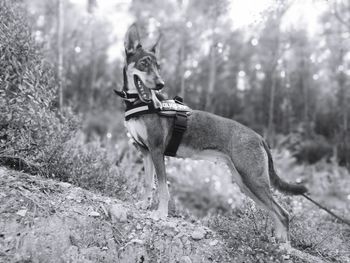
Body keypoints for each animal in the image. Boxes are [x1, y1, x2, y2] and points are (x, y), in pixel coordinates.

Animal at [119, 24, 306, 243]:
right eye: (144, 63)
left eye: (158, 66)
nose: (160, 84)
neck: (139, 103)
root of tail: (259, 137)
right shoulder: (146, 152)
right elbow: (149, 183)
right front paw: (145, 204)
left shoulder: (156, 151)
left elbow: (163, 188)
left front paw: (161, 213)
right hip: (246, 183)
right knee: (276, 212)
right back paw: (277, 242)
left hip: (253, 180)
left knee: (282, 213)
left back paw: (283, 246)